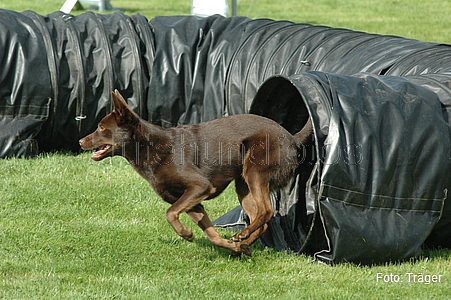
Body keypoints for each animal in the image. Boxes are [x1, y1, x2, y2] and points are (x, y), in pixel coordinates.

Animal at [79, 89, 312, 255]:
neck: (150, 146)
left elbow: (170, 213)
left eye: (101, 127)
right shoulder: (192, 201)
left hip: (255, 172)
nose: (81, 141)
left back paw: (243, 234)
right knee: (262, 221)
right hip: (243, 185)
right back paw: (242, 243)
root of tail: (292, 138)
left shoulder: (200, 186)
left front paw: (186, 234)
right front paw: (232, 247)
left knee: (267, 211)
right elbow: (211, 235)